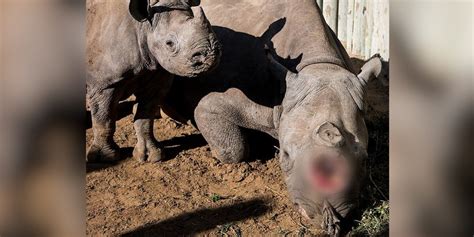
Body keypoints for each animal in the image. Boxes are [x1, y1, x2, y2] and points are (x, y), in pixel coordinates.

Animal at [86, 0, 220, 162]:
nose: (211, 56)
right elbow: (104, 118)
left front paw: (151, 156)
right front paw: (104, 158)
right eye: (169, 43)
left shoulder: (156, 77)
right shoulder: (105, 83)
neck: (143, 26)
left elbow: (145, 116)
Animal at [162, 0, 382, 235]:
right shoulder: (219, 102)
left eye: (366, 160)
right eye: (284, 155)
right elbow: (232, 148)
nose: (329, 217)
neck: (320, 65)